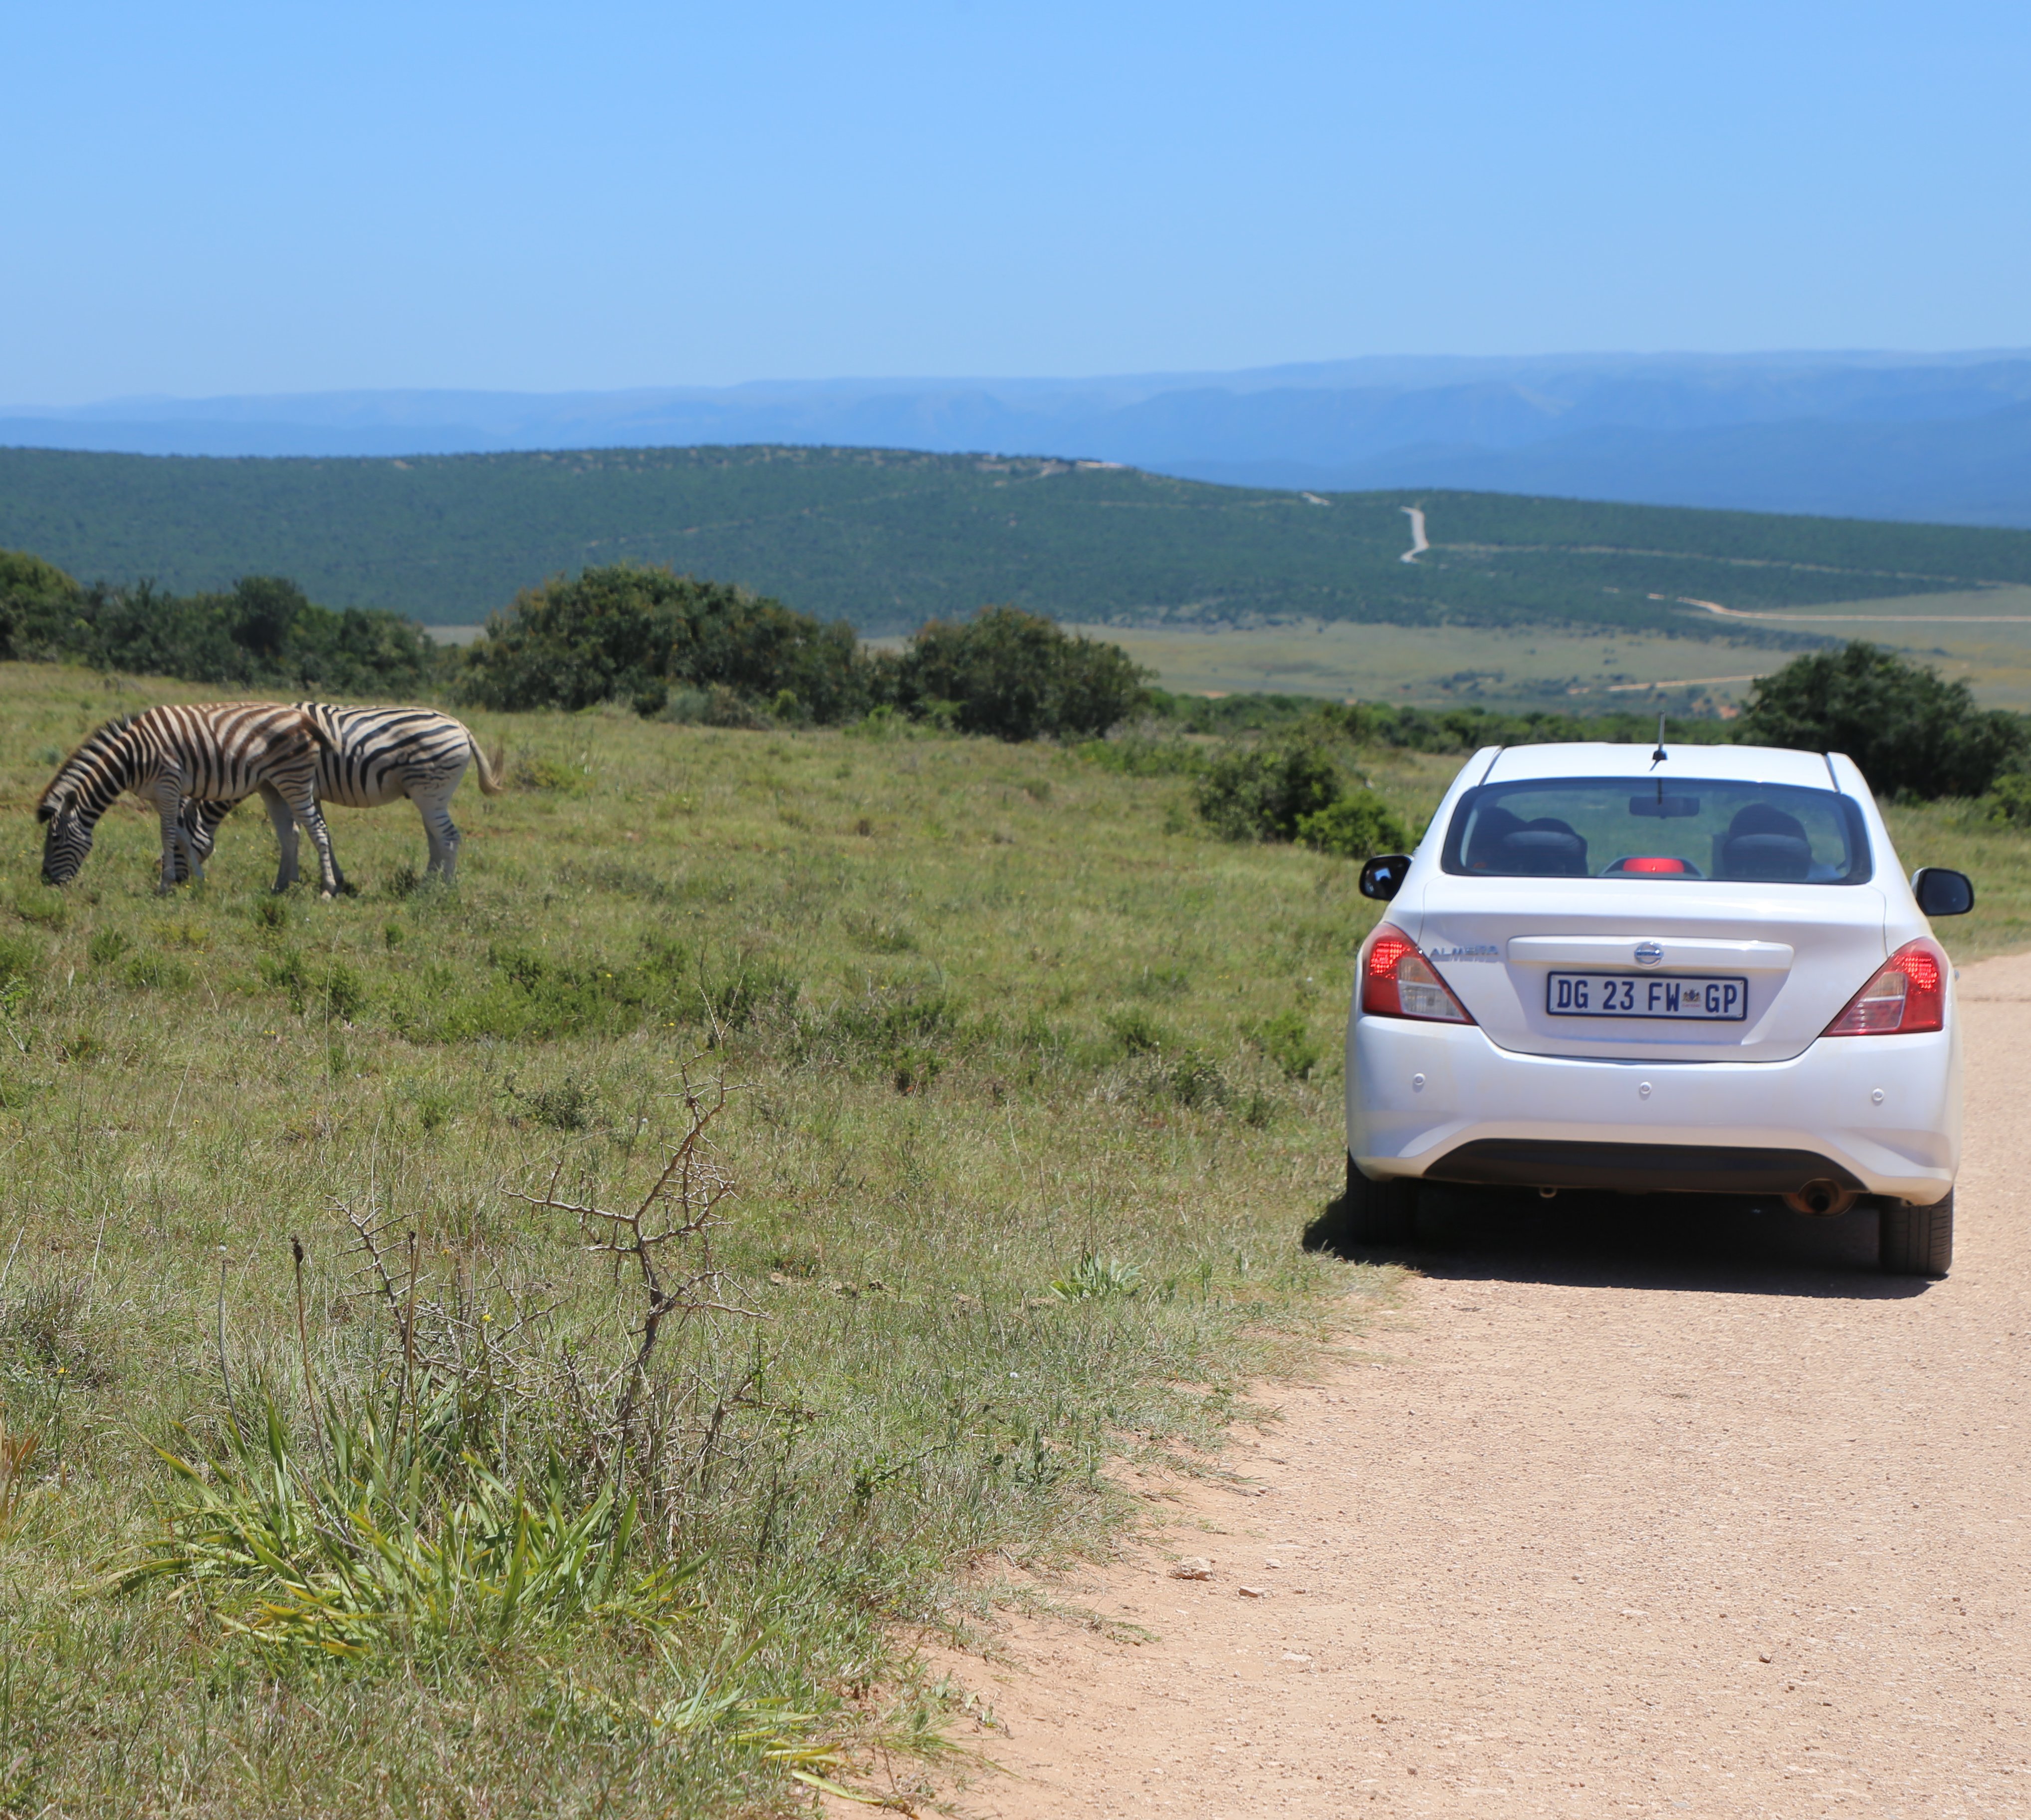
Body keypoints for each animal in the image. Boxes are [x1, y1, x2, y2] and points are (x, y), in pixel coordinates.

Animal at [39, 698, 343, 894]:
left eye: (55, 839)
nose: (45, 880)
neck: (132, 759)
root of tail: (304, 718)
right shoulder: (158, 794)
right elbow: (183, 836)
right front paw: (198, 879)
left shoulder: (168, 785)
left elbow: (168, 834)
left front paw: (164, 885)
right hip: (272, 785)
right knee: (289, 833)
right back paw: (280, 887)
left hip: (294, 778)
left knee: (318, 828)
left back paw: (328, 888)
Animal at [182, 698, 503, 894]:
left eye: (177, 844)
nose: (180, 883)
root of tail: (460, 726)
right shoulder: (311, 791)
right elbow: (318, 832)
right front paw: (334, 878)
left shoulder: (292, 787)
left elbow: (295, 833)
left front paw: (295, 881)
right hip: (429, 794)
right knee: (436, 838)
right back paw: (427, 884)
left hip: (430, 789)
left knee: (448, 837)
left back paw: (442, 889)